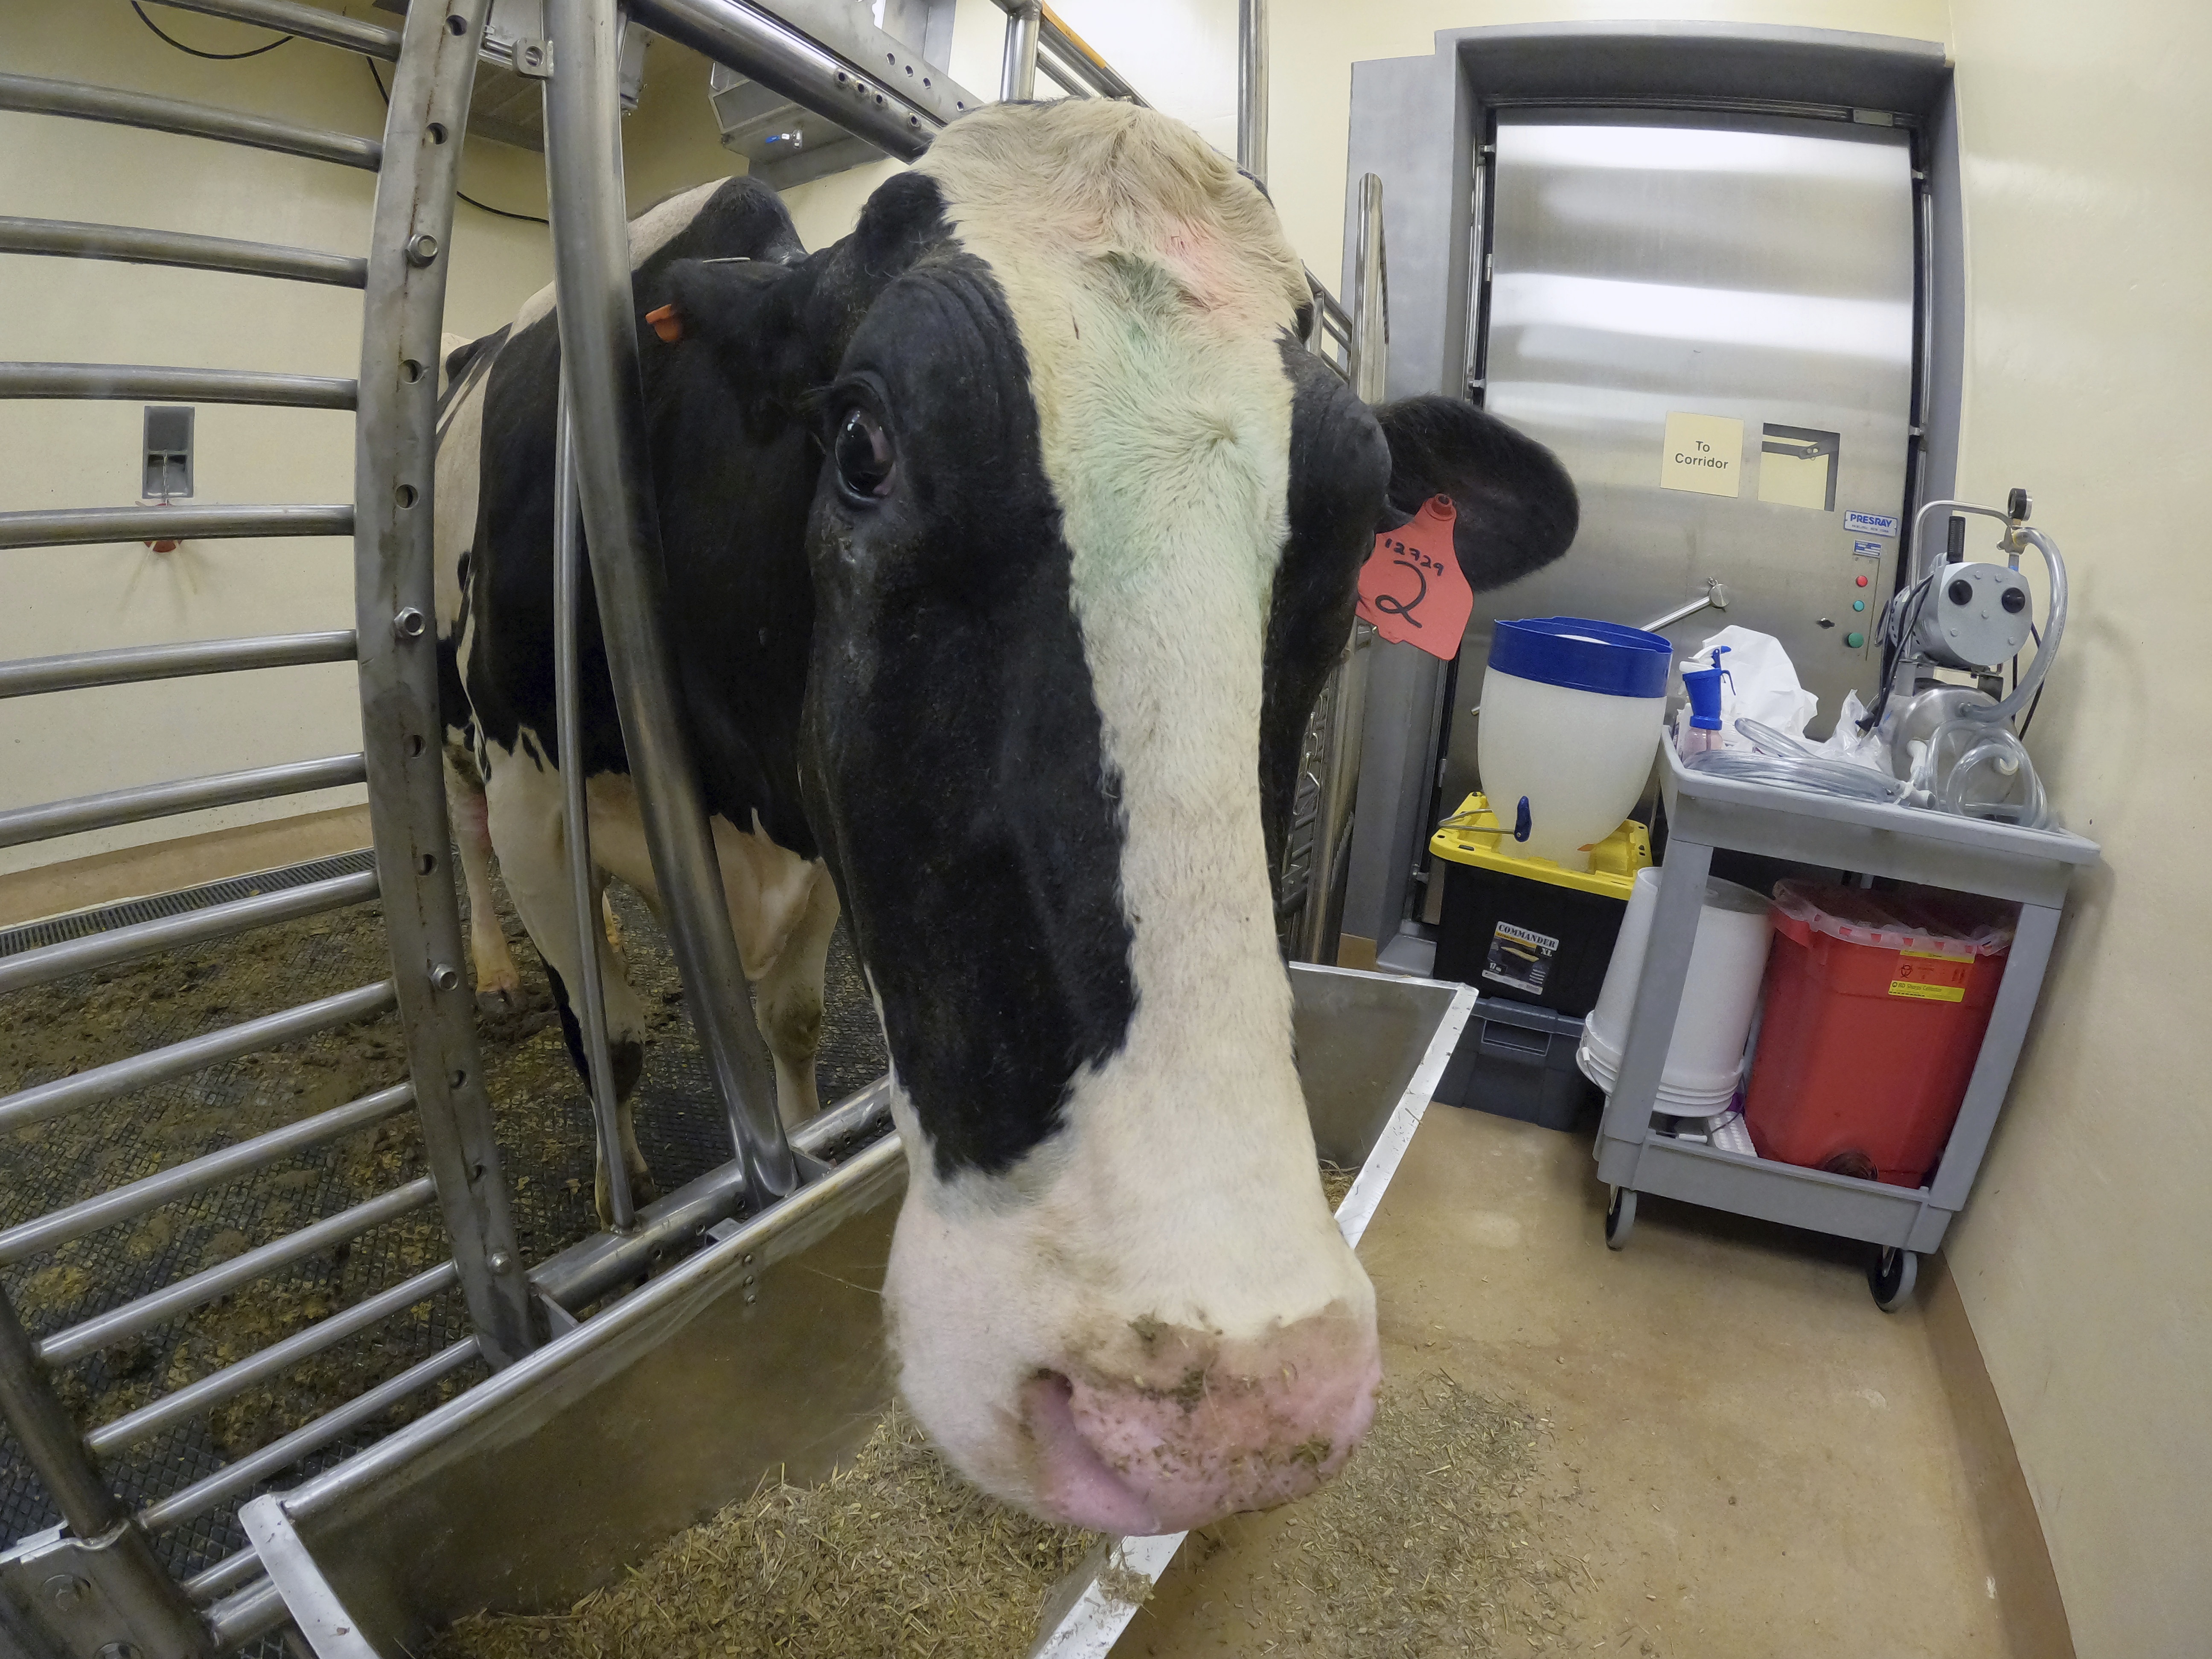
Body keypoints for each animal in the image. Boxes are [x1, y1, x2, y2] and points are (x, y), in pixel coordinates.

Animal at [435, 97, 1576, 1536]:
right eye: (862, 445)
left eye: (1365, 517)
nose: (1241, 1410)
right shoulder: (537, 788)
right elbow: (615, 1034)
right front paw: (620, 1198)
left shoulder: (821, 843)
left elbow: (793, 1018)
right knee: (468, 853)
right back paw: (485, 977)